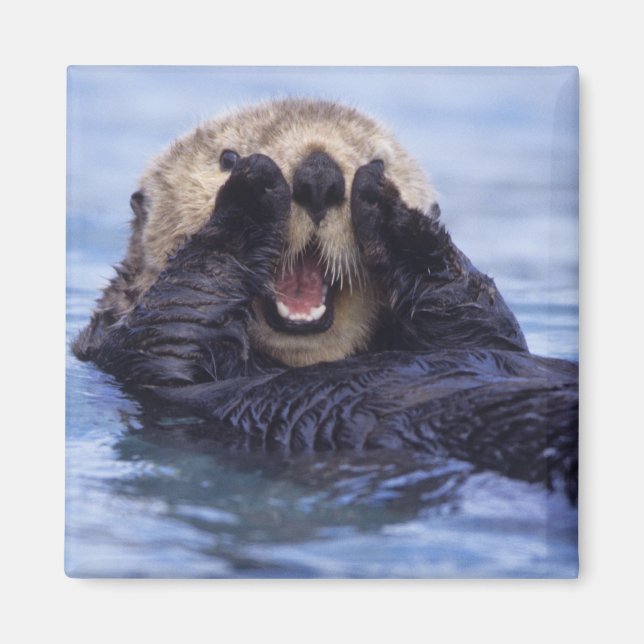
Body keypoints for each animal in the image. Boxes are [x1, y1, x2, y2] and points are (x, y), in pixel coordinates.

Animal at [73, 99, 578, 499]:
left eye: (378, 159)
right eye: (226, 157)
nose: (319, 175)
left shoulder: (485, 334)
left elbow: (481, 317)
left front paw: (391, 210)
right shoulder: (133, 351)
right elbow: (177, 316)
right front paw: (252, 190)